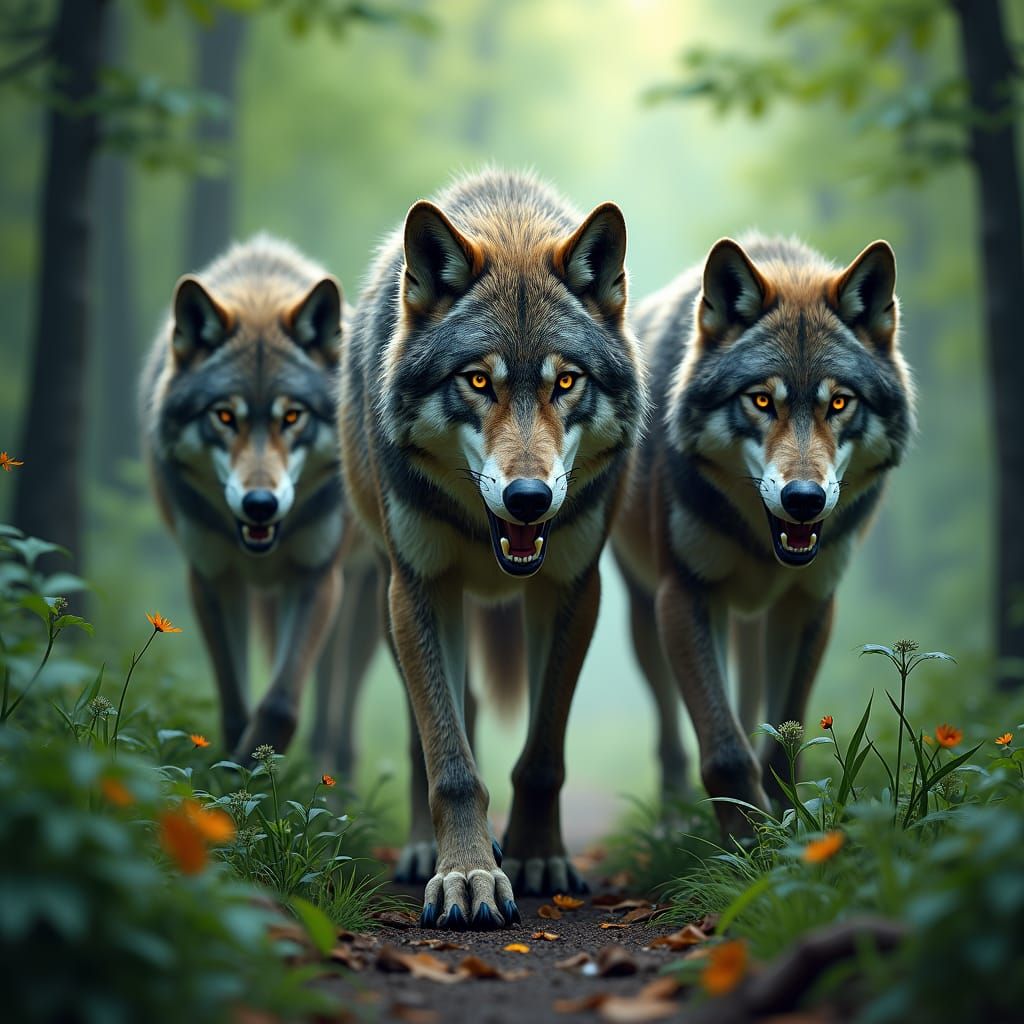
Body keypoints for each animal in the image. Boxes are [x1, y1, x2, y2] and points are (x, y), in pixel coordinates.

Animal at [141, 235, 379, 766]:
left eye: (292, 416)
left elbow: (280, 706)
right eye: (225, 416)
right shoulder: (212, 578)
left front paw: (249, 769)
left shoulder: (315, 578)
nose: (259, 505)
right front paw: (229, 772)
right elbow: (236, 706)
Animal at [340, 170, 645, 929]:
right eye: (479, 381)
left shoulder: (574, 588)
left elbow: (542, 755)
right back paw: (426, 851)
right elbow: (450, 762)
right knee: (437, 731)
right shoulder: (418, 585)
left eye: (566, 381)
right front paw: (466, 875)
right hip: (396, 603)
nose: (529, 498)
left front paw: (537, 858)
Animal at [612, 234, 914, 835]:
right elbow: (723, 748)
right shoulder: (684, 595)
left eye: (839, 402)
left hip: (750, 623)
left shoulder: (809, 603)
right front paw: (747, 842)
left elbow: (783, 740)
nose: (804, 499)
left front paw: (786, 825)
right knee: (671, 732)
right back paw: (673, 820)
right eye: (761, 400)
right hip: (645, 613)